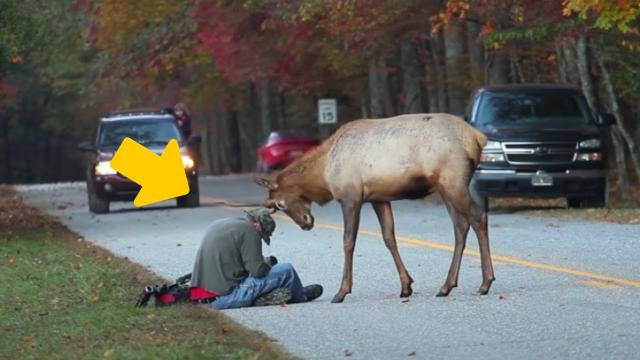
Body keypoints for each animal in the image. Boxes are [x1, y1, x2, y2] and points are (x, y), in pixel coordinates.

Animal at [255, 113, 496, 304]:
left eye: (280, 204)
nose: (306, 223)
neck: (324, 174)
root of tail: (477, 137)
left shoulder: (351, 197)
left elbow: (348, 241)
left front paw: (342, 291)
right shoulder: (379, 199)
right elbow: (389, 237)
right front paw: (406, 286)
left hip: (453, 182)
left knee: (478, 217)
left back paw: (485, 283)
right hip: (445, 188)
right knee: (461, 226)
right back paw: (446, 286)